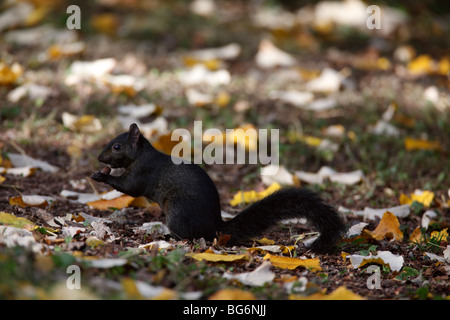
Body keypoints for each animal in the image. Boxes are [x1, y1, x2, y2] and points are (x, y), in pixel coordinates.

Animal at [90, 122, 344, 252]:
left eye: (117, 146)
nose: (100, 158)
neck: (141, 155)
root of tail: (215, 227)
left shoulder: (143, 172)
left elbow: (130, 187)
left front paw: (101, 176)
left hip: (178, 211)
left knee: (189, 236)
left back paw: (168, 236)